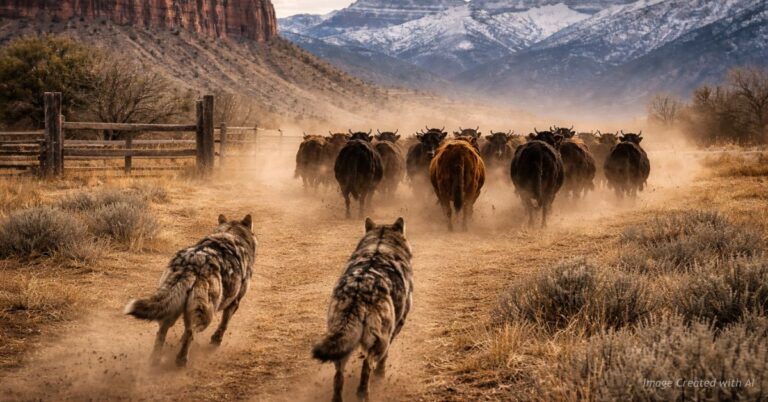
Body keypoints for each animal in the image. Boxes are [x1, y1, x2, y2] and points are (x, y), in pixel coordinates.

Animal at [124, 214, 257, 367]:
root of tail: (190, 265)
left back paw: (155, 360)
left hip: (171, 309)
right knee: (190, 333)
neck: (231, 233)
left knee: (162, 333)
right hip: (206, 316)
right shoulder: (234, 303)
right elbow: (224, 324)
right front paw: (216, 341)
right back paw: (181, 360)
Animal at [312, 217, 413, 402]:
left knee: (338, 376)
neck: (380, 244)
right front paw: (381, 373)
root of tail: (358, 290)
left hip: (340, 345)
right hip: (378, 342)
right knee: (367, 366)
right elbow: (384, 357)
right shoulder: (395, 327)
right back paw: (363, 392)